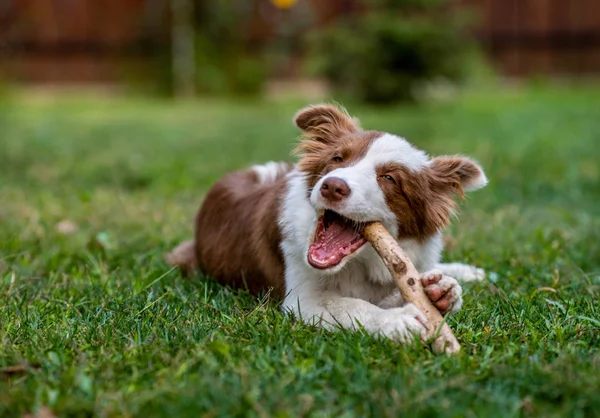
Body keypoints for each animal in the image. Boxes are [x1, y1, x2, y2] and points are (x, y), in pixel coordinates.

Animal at [166, 103, 486, 342]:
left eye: (389, 178)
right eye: (337, 158)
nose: (332, 186)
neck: (362, 265)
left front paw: (442, 293)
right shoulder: (302, 299)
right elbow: (351, 306)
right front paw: (396, 320)